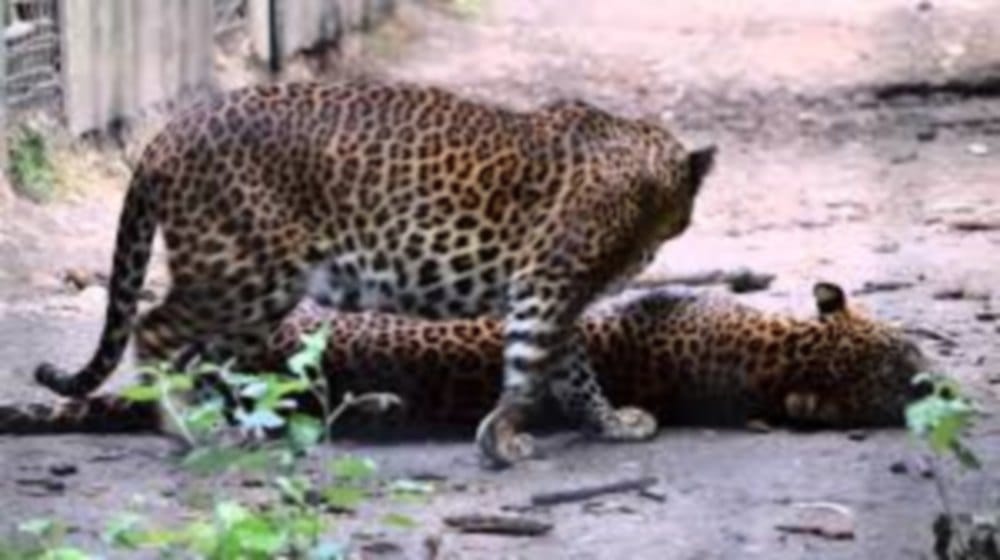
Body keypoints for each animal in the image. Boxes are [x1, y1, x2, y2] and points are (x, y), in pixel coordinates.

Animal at [31, 80, 716, 466]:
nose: (669, 238)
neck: (641, 166)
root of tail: (164, 136)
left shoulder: (553, 294)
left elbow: (573, 372)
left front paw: (609, 423)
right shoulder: (548, 285)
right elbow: (533, 371)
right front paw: (502, 440)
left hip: (259, 291)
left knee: (207, 357)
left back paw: (236, 427)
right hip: (239, 271)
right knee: (155, 331)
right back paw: (187, 433)